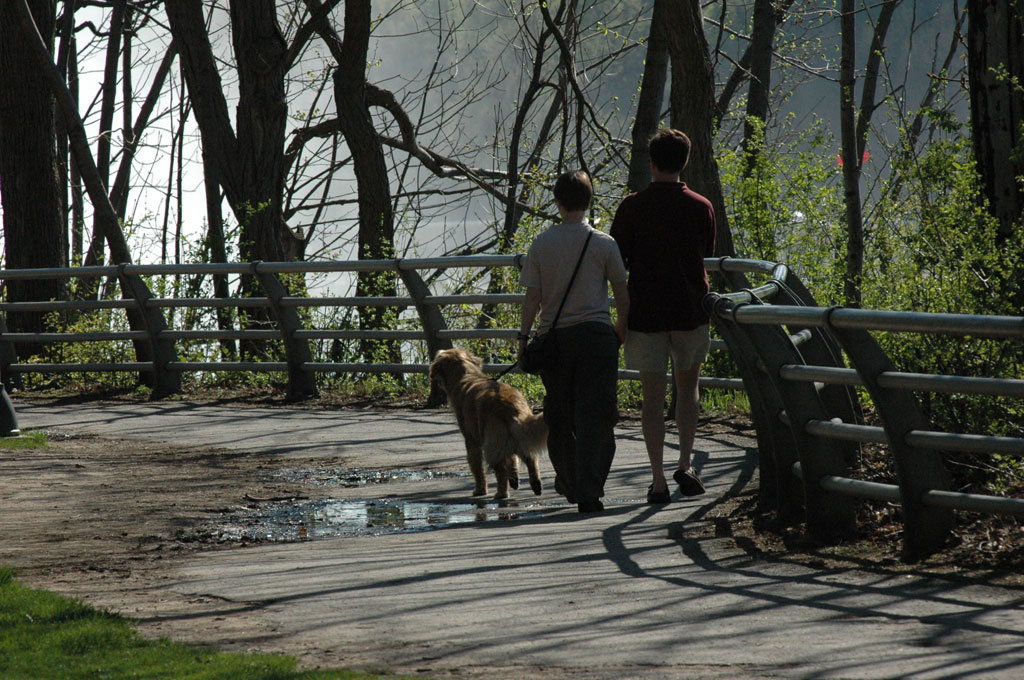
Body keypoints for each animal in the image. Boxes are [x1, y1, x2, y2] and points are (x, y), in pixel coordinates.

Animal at [428, 350, 548, 499]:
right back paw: (535, 484)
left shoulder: (472, 439)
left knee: (501, 470)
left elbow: (477, 467)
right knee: (530, 458)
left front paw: (480, 490)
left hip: (492, 441)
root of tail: (509, 404)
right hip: (516, 433)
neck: (466, 374)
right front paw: (514, 478)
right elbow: (512, 459)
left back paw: (501, 493)